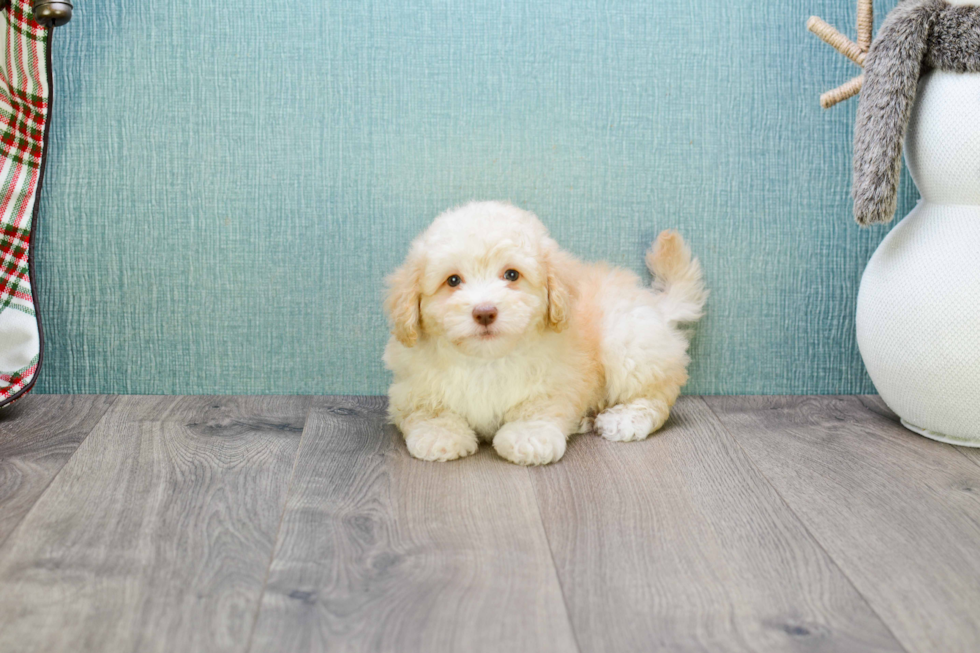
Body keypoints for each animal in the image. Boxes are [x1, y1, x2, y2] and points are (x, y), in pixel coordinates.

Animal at [382, 202, 704, 464]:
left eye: (512, 275)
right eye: (452, 281)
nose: (484, 312)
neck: (486, 360)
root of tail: (656, 306)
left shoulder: (556, 381)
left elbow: (538, 409)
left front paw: (527, 438)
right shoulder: (412, 386)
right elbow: (428, 411)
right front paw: (439, 435)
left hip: (628, 340)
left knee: (656, 396)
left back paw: (625, 419)